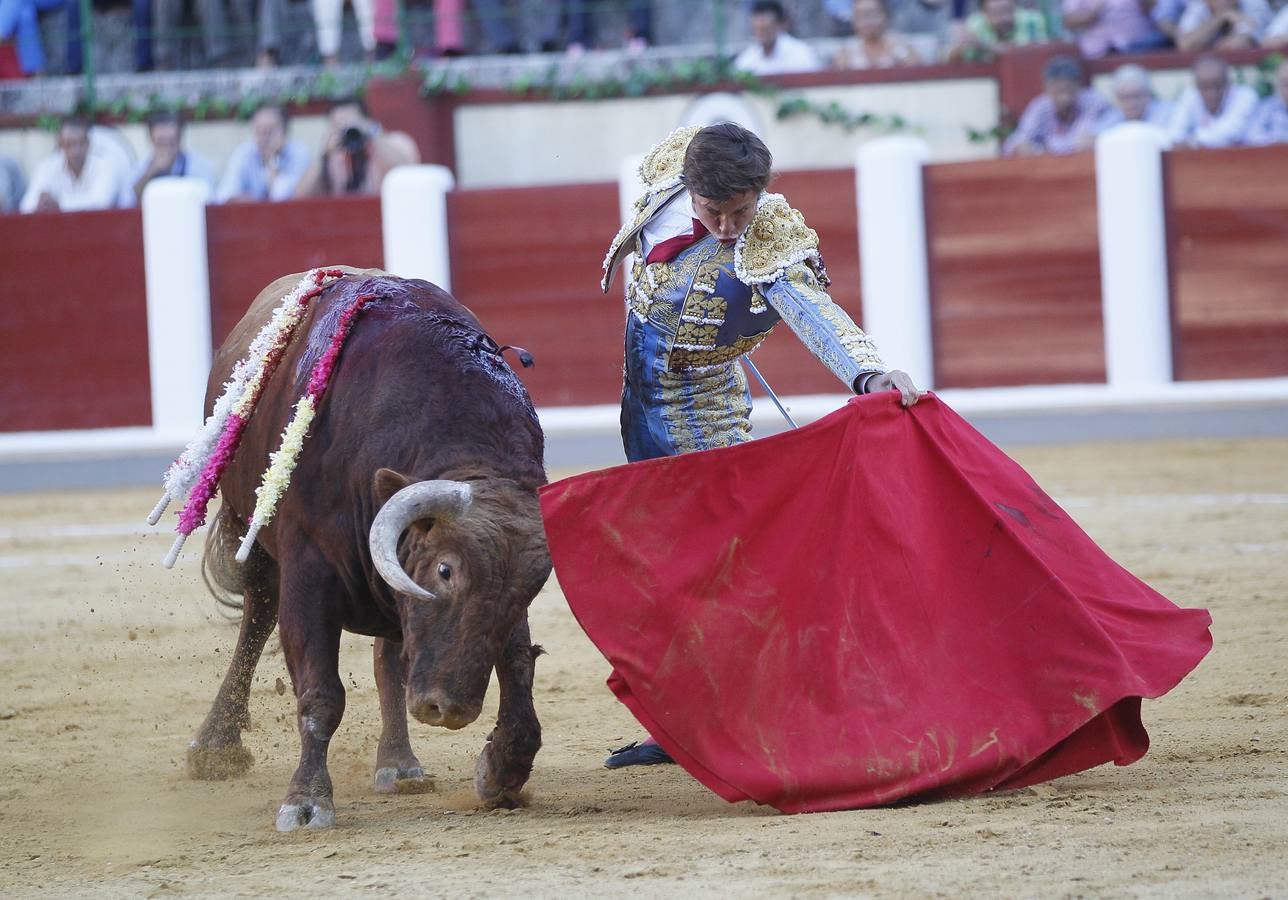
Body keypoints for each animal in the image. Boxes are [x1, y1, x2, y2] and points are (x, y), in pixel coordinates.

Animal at [188, 267, 551, 829]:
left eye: (529, 590)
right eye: (445, 571)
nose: (449, 710)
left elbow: (517, 664)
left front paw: (503, 770)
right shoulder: (308, 575)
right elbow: (320, 692)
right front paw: (306, 801)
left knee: (389, 661)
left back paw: (399, 764)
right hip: (254, 532)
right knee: (257, 618)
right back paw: (216, 746)